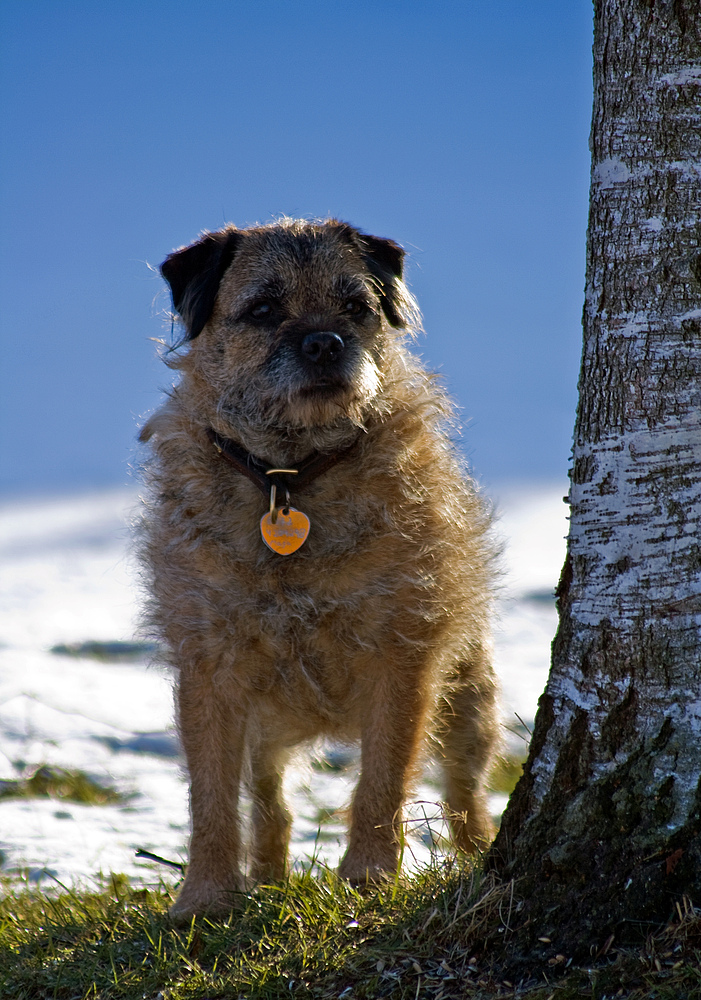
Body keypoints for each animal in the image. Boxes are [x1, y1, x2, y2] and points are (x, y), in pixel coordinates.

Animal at [138, 219, 498, 920]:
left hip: (469, 699)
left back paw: (478, 853)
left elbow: (382, 780)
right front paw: (205, 896)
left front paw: (369, 877)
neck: (290, 476)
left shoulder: (401, 656)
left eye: (356, 307)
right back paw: (269, 878)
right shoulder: (210, 668)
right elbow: (211, 798)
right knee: (270, 803)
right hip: (264, 729)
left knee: (464, 791)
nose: (326, 342)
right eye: (263, 309)